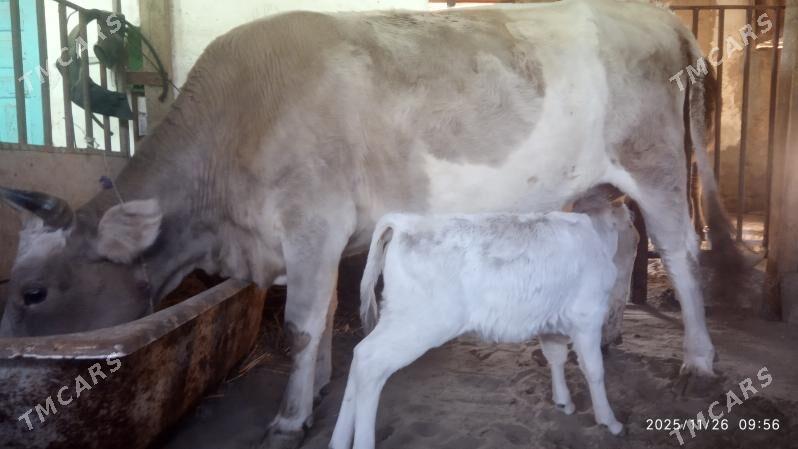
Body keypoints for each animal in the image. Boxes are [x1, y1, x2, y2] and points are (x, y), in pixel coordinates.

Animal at [331, 204, 633, 449]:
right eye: (632, 223)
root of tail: (403, 221)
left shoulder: (551, 320)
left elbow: (556, 359)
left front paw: (563, 402)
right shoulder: (588, 315)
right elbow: (594, 370)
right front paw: (609, 421)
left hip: (400, 318)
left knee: (359, 355)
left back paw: (338, 440)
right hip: (418, 322)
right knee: (370, 362)